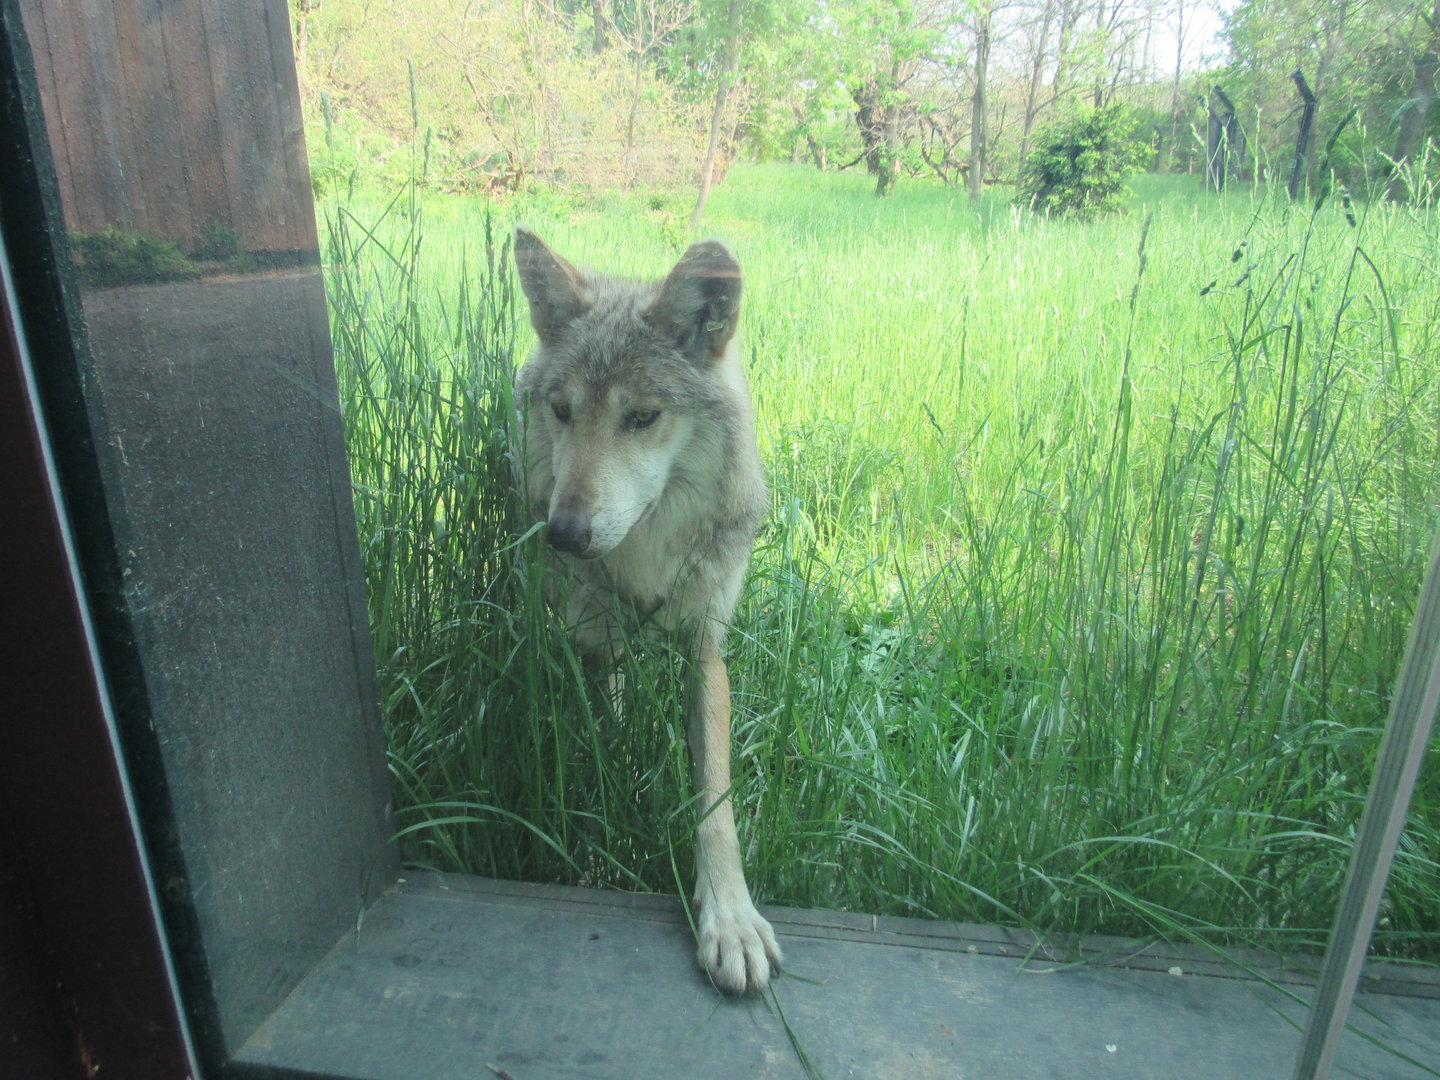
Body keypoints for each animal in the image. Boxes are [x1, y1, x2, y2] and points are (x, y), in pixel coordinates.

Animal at [511, 227, 781, 994]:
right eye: (562, 411)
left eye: (642, 417)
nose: (564, 534)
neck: (646, 552)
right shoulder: (594, 640)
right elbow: (603, 741)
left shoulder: (705, 645)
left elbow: (715, 799)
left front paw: (730, 918)